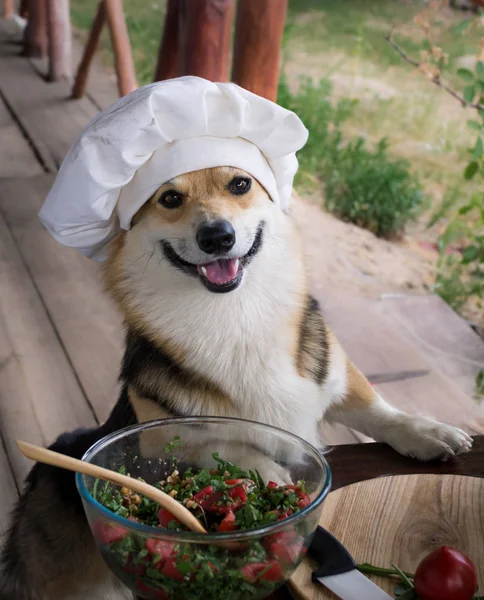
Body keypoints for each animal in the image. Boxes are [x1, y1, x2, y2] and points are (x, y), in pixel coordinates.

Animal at [0, 166, 472, 596]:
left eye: (240, 184)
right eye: (169, 198)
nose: (217, 237)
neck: (234, 313)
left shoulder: (333, 374)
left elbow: (379, 410)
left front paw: (429, 433)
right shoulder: (158, 439)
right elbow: (223, 443)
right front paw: (271, 474)